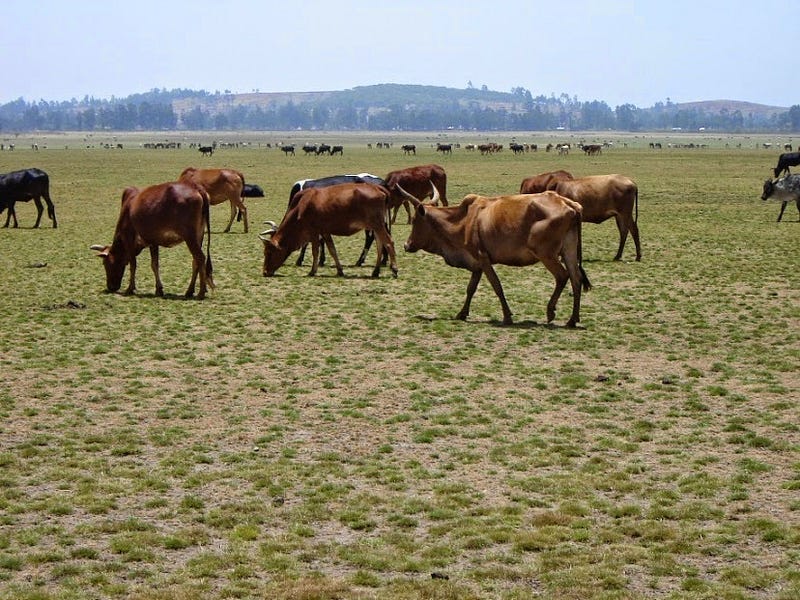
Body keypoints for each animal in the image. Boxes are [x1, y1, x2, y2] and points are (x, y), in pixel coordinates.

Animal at [260, 183, 398, 278]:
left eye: (268, 252)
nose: (265, 272)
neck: (301, 207)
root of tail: (377, 187)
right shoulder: (325, 232)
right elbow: (332, 250)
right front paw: (340, 270)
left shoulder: (314, 232)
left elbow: (315, 251)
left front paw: (312, 271)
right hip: (375, 227)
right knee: (380, 245)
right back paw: (375, 271)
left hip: (378, 225)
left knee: (389, 242)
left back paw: (394, 269)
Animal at [398, 186, 588, 330]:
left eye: (415, 220)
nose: (406, 245)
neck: (464, 219)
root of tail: (569, 204)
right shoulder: (477, 264)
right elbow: (471, 288)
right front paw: (462, 313)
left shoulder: (483, 259)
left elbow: (497, 286)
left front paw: (507, 316)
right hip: (568, 251)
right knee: (576, 279)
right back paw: (572, 319)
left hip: (546, 255)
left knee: (562, 276)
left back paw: (550, 311)